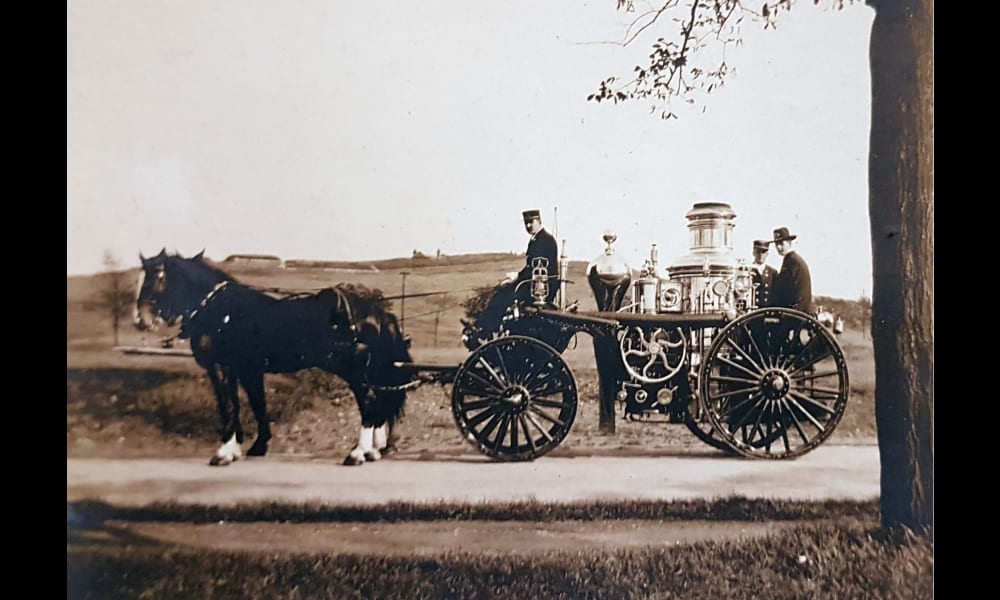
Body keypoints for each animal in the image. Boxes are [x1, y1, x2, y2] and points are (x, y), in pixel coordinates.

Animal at [134, 248, 414, 464]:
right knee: (379, 402)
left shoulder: (221, 366)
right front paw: (251, 447)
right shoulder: (248, 370)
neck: (219, 311)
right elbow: (256, 405)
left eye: (155, 278)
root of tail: (372, 307)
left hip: (352, 367)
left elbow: (228, 406)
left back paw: (358, 453)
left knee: (369, 401)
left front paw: (224, 453)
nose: (140, 321)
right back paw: (373, 451)